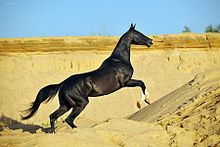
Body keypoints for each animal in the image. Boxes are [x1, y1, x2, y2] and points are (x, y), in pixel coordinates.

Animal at [22, 23, 153, 133]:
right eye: (139, 33)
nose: (150, 41)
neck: (119, 60)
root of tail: (63, 84)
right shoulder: (126, 82)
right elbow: (142, 83)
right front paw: (144, 101)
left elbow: (142, 83)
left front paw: (146, 101)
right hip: (81, 104)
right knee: (68, 119)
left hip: (66, 105)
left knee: (53, 116)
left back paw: (54, 133)